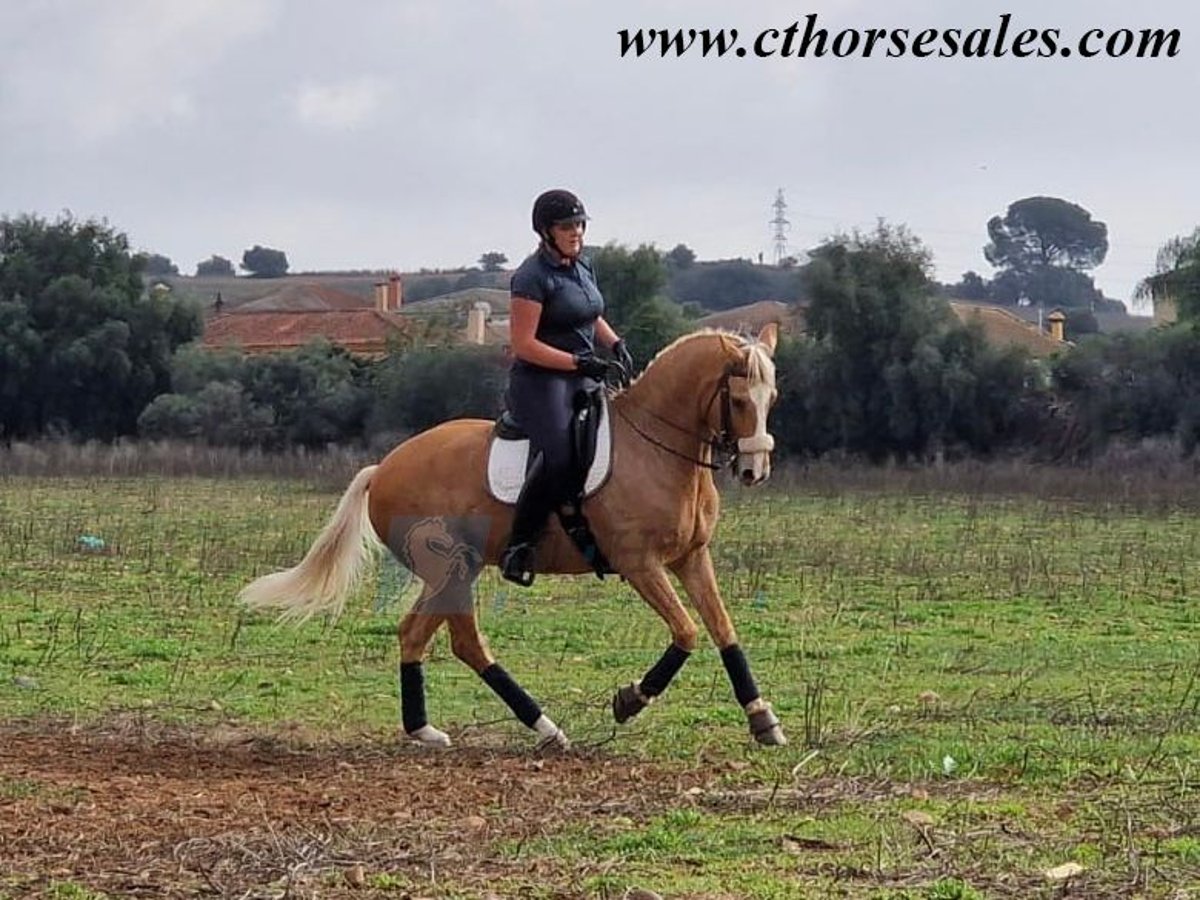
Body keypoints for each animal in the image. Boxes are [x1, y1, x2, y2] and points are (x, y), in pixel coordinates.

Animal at [242, 324, 787, 748]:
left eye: (773, 400)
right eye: (740, 399)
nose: (754, 471)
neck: (658, 451)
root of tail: (384, 468)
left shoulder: (692, 557)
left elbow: (723, 630)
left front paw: (763, 719)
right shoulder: (640, 564)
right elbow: (687, 631)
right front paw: (630, 699)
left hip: (453, 572)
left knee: (427, 636)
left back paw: (444, 729)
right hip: (451, 569)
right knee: (455, 640)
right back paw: (530, 728)